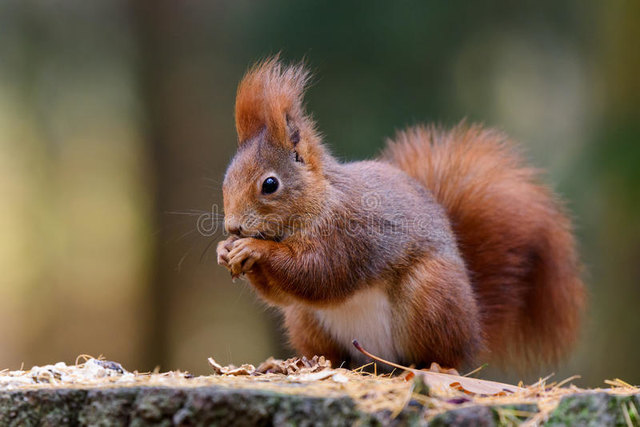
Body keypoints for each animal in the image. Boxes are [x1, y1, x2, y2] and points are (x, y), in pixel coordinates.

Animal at [216, 57, 586, 371]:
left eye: (270, 184)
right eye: (226, 178)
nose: (233, 227)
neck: (321, 200)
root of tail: (476, 328)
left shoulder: (352, 231)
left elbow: (319, 272)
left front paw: (255, 249)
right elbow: (283, 293)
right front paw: (224, 250)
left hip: (432, 296)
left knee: (444, 352)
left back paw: (438, 366)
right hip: (305, 320)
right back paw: (310, 363)